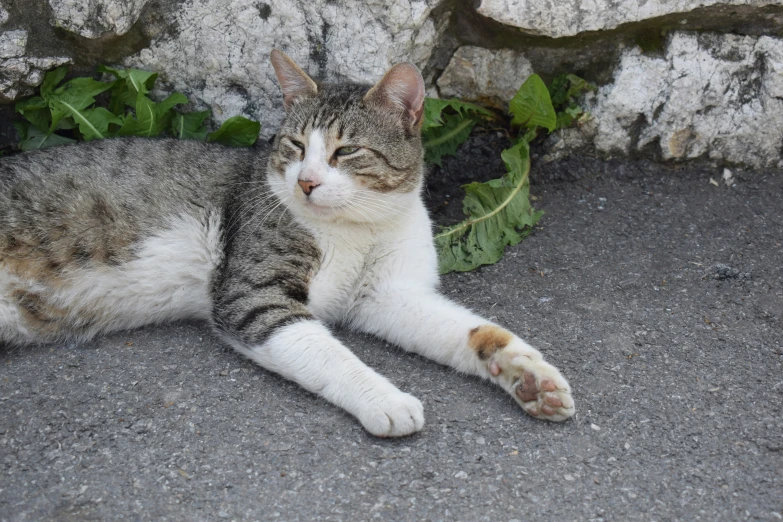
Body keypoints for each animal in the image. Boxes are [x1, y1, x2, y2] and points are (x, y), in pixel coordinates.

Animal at [0, 50, 576, 434]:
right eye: (296, 146)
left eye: (346, 152)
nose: (307, 182)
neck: (360, 226)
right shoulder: (255, 295)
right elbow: (329, 353)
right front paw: (385, 398)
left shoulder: (389, 295)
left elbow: (472, 330)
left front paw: (529, 376)